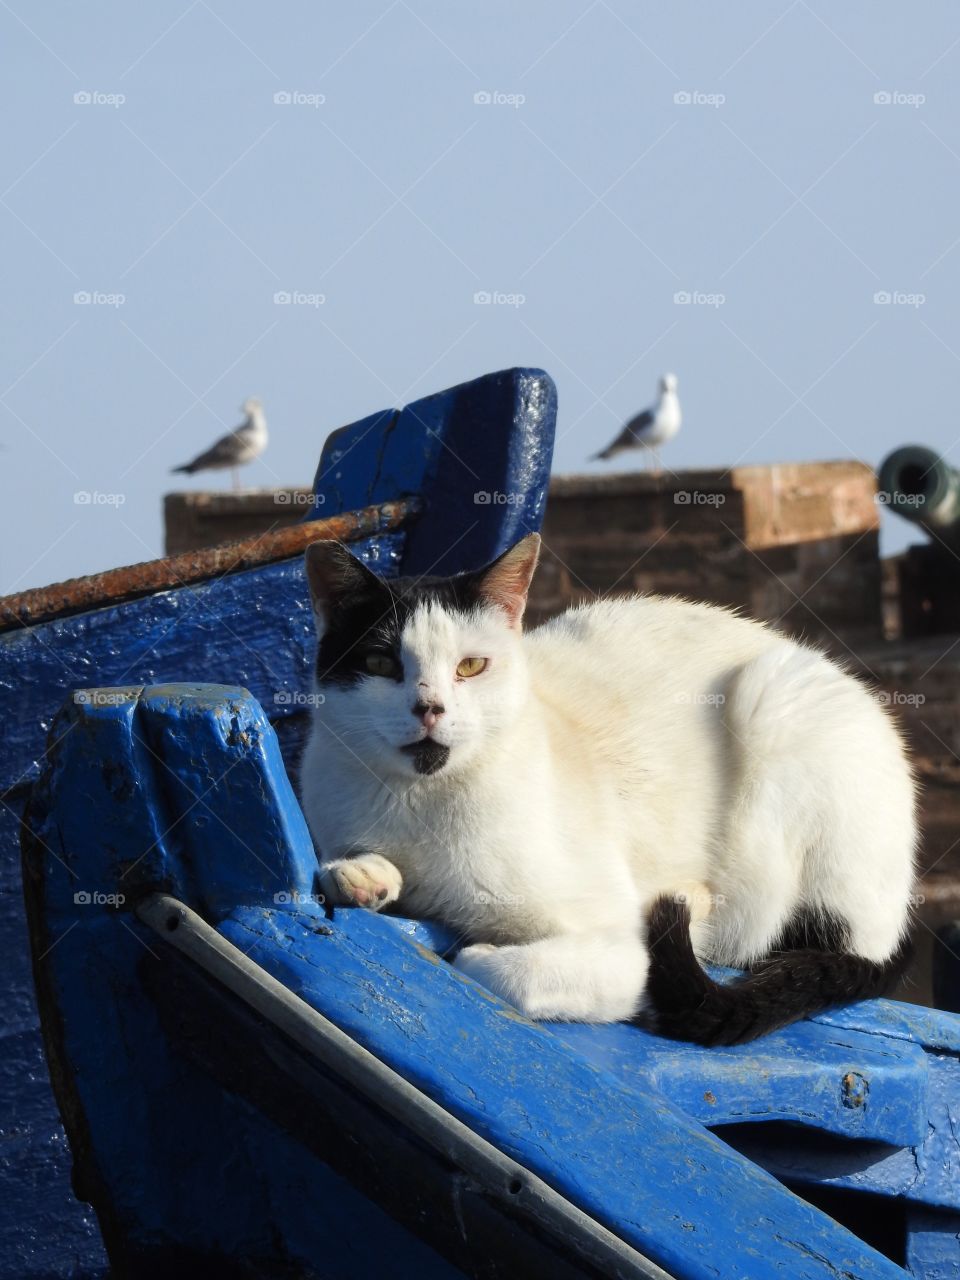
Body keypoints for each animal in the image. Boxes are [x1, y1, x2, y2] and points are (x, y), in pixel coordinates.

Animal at [299, 529, 916, 1039]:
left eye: (470, 667)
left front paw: (478, 952)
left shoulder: (619, 947)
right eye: (381, 664)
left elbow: (501, 971)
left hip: (774, 705)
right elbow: (341, 864)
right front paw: (360, 874)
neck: (419, 802)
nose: (429, 708)